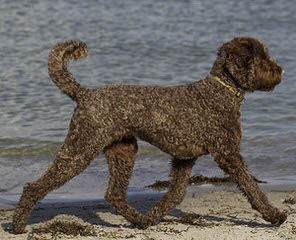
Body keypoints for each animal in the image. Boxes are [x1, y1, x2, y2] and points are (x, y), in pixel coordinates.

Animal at [12, 36, 286, 233]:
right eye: (263, 58)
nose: (281, 70)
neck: (219, 93)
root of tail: (85, 94)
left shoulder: (184, 158)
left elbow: (175, 194)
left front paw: (155, 214)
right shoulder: (228, 154)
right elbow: (252, 188)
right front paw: (274, 215)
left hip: (123, 151)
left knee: (114, 195)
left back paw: (141, 220)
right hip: (80, 149)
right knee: (34, 187)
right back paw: (18, 225)